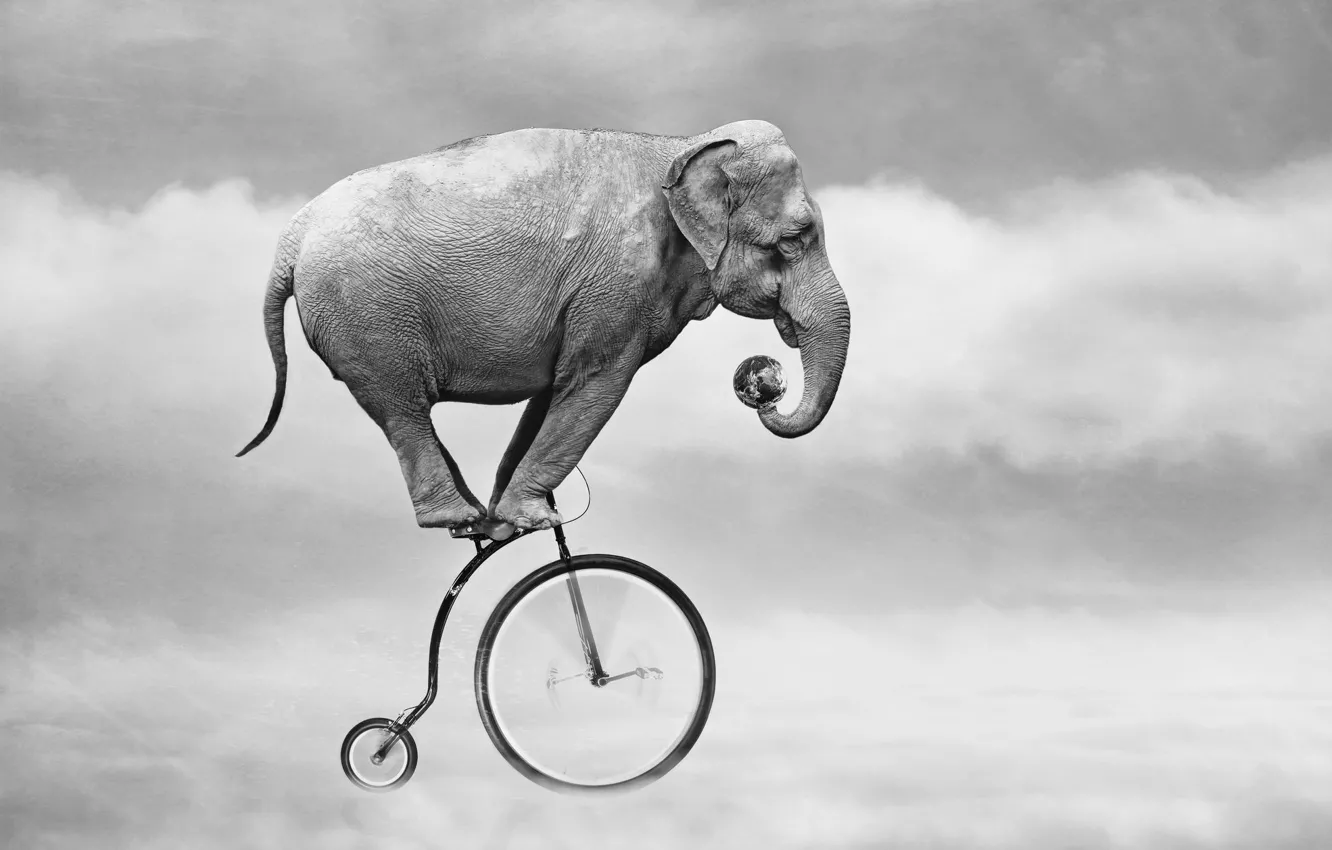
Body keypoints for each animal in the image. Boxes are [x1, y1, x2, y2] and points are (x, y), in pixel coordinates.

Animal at [237, 119, 851, 537]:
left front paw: (512, 518)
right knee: (402, 408)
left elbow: (554, 393)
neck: (681, 145)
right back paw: (461, 518)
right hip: (369, 318)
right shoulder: (615, 286)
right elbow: (597, 384)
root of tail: (289, 240)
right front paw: (531, 520)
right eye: (794, 240)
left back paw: (480, 520)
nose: (765, 386)